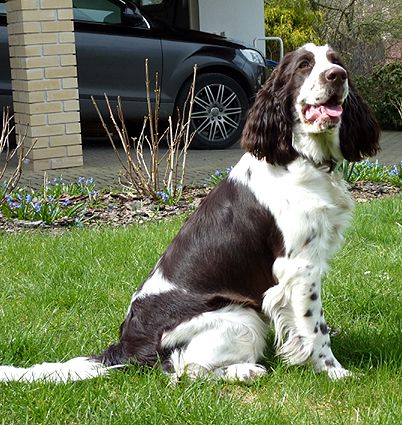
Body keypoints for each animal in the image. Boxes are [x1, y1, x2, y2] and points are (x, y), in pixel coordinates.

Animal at [0, 44, 378, 382]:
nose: (337, 76)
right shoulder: (298, 267)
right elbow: (314, 327)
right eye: (303, 65)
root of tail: (124, 346)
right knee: (183, 370)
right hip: (241, 316)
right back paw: (246, 371)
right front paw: (334, 371)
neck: (300, 157)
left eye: (336, 61)